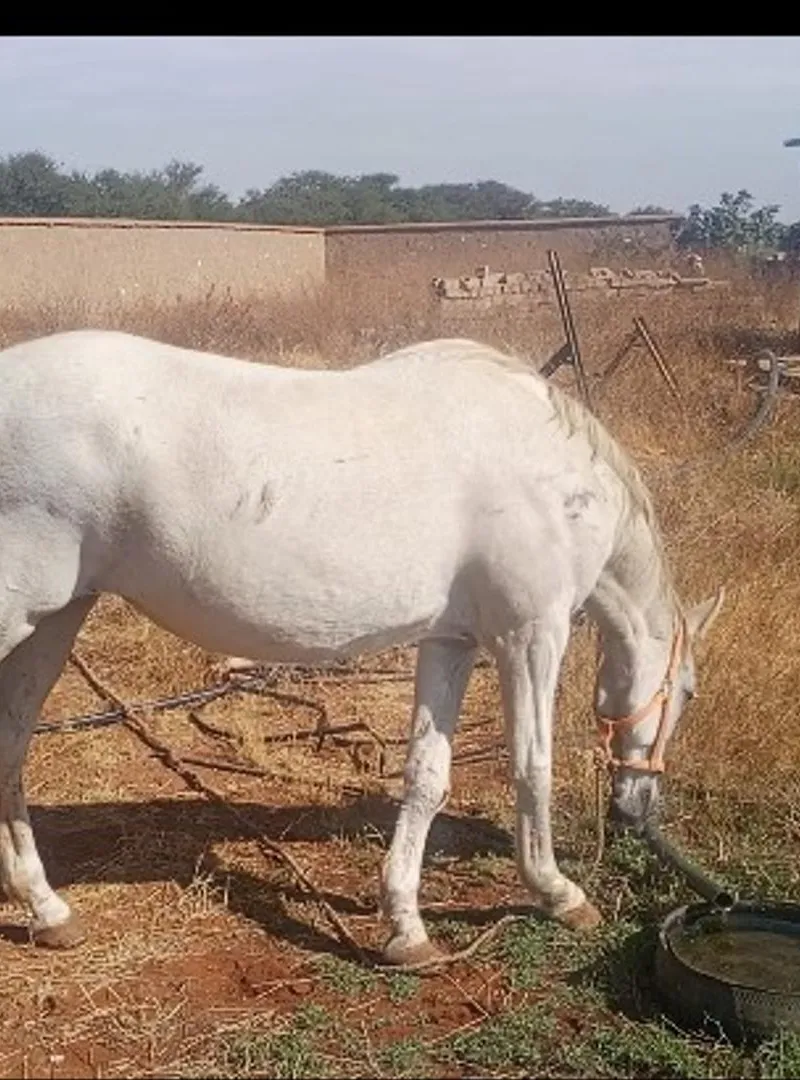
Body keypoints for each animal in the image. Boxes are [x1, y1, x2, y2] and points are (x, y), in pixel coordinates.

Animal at [0, 331, 724, 966]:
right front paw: (558, 893)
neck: (554, 475)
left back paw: (47, 910)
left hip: (56, 620)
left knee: (11, 749)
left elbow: (426, 776)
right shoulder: (530, 634)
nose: (639, 807)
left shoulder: (451, 641)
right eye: (687, 693)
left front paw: (406, 927)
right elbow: (531, 766)